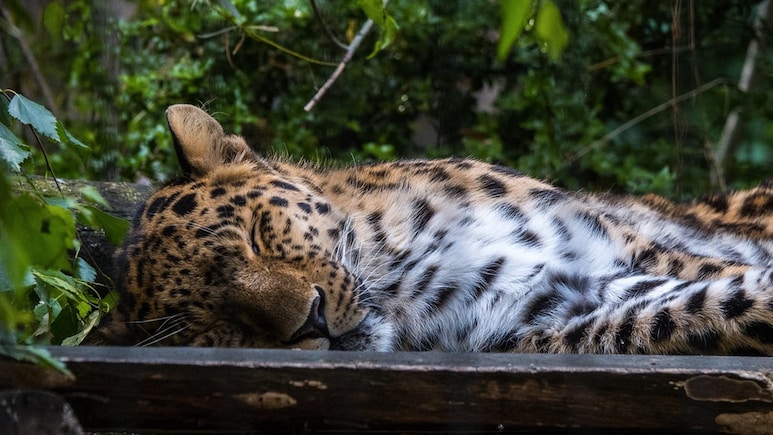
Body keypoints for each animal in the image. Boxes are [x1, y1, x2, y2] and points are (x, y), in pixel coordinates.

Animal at [90, 104, 773, 355]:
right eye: (211, 324)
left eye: (258, 235)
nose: (310, 323)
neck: (402, 270)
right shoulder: (563, 314)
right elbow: (716, 309)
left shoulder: (627, 251)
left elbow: (727, 278)